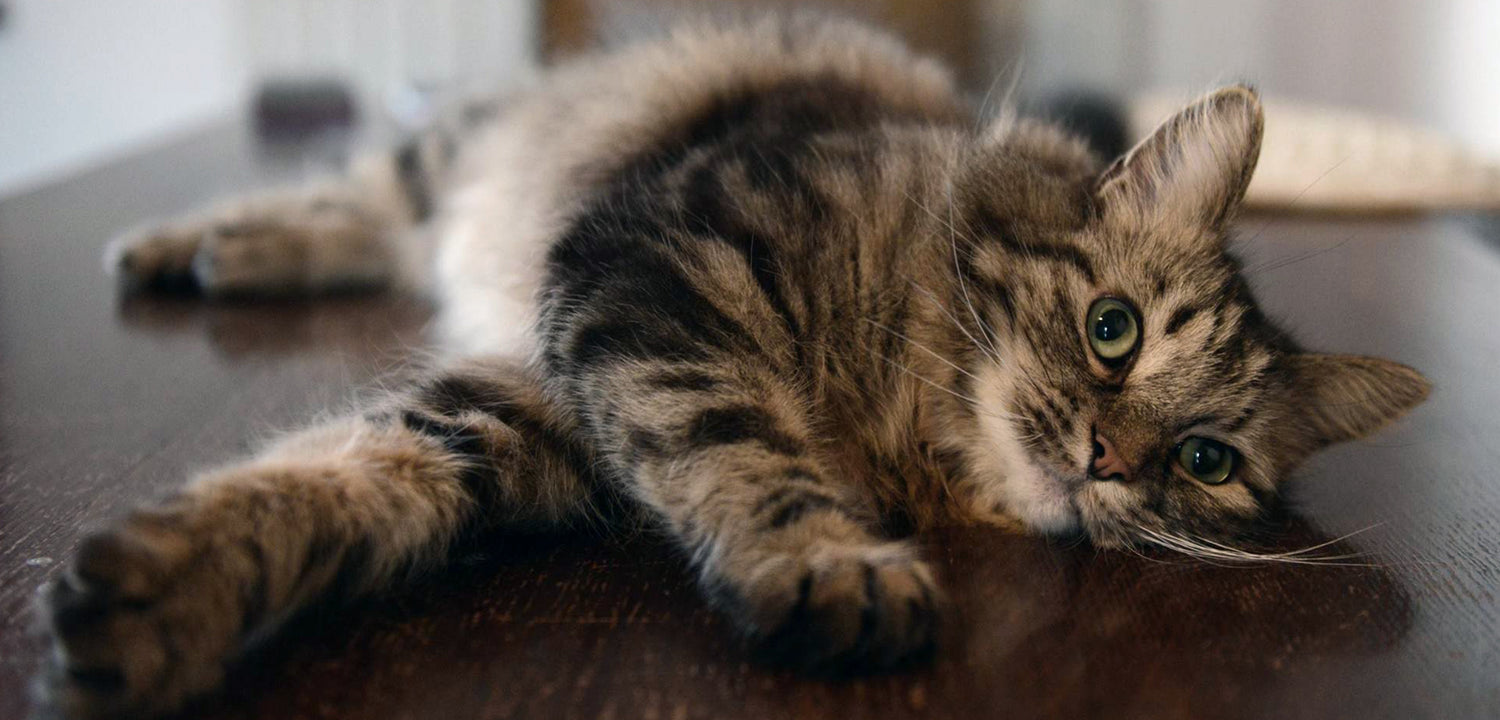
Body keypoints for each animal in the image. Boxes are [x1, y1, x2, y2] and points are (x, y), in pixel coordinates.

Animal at [35, 12, 1422, 720]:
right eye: (1114, 329)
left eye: (1207, 461)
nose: (1107, 459)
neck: (898, 421)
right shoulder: (656, 279)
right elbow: (743, 445)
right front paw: (826, 563)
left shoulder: (550, 399)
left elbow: (354, 475)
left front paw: (160, 600)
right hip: (472, 153)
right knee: (370, 193)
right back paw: (196, 245)